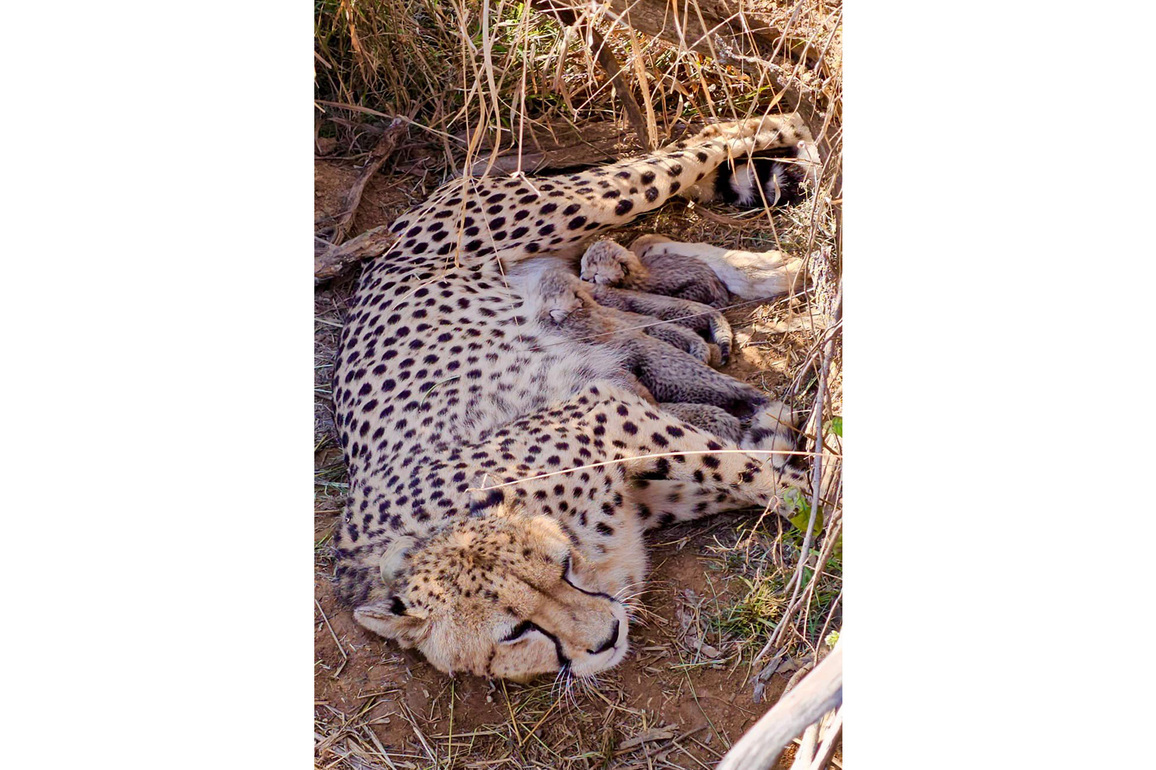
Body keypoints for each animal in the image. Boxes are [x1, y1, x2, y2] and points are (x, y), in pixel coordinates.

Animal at [331, 113, 816, 681]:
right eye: (514, 632)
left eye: (561, 566)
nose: (607, 637)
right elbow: (750, 470)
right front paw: (773, 437)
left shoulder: (611, 413)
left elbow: (762, 477)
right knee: (649, 240)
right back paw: (761, 273)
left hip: (581, 202)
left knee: (721, 137)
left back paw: (799, 153)